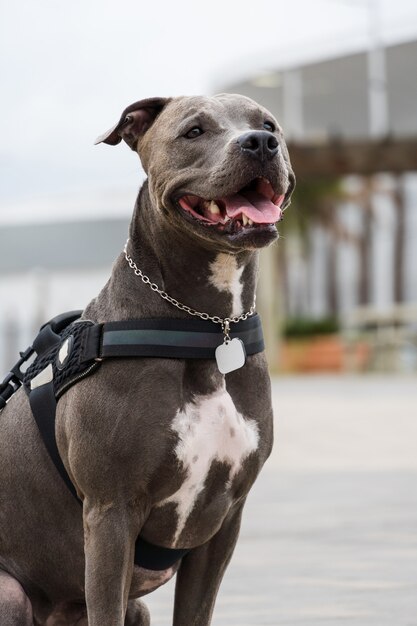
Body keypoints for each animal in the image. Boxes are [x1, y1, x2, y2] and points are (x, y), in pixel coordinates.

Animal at [0, 94, 292, 624]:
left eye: (269, 124)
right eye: (194, 131)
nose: (261, 143)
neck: (207, 327)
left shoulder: (223, 523)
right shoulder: (110, 513)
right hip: (9, 591)